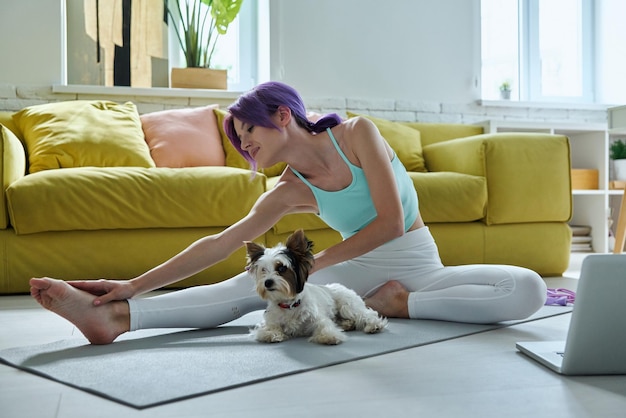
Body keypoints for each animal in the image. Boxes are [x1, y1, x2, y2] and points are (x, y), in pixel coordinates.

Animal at [245, 230, 386, 344]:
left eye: (281, 268)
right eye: (263, 270)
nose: (267, 282)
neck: (289, 304)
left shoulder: (317, 318)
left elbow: (325, 326)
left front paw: (328, 336)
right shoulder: (271, 321)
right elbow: (268, 329)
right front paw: (272, 334)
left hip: (347, 305)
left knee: (366, 313)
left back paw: (374, 325)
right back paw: (347, 324)